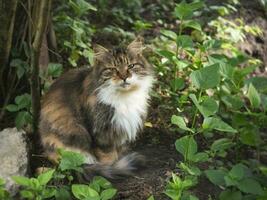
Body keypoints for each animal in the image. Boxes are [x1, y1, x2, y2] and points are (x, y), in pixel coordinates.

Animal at [38, 36, 154, 179]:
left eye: (131, 66)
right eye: (113, 69)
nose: (124, 77)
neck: (124, 97)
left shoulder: (120, 129)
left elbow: (119, 150)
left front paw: (121, 159)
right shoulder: (101, 132)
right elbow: (108, 157)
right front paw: (113, 167)